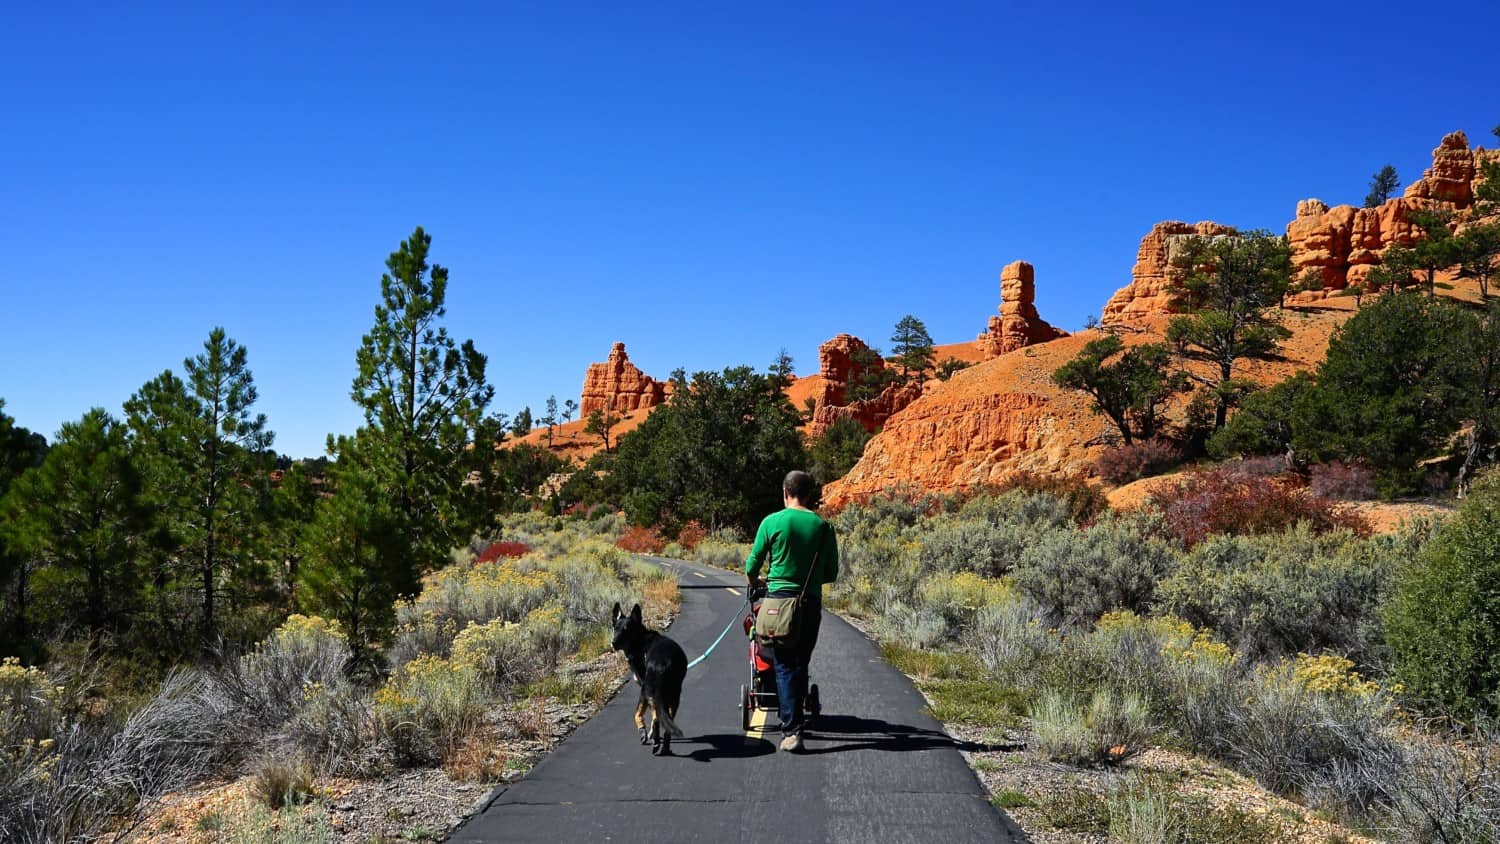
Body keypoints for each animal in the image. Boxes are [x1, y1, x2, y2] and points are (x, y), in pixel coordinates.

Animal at [612, 605, 687, 755]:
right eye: (615, 628)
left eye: (626, 629)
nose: (613, 643)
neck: (639, 641)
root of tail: (663, 662)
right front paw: (651, 734)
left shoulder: (643, 689)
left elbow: (637, 713)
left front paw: (644, 733)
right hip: (672, 695)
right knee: (666, 721)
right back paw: (664, 747)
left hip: (651, 689)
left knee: (657, 717)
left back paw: (656, 743)